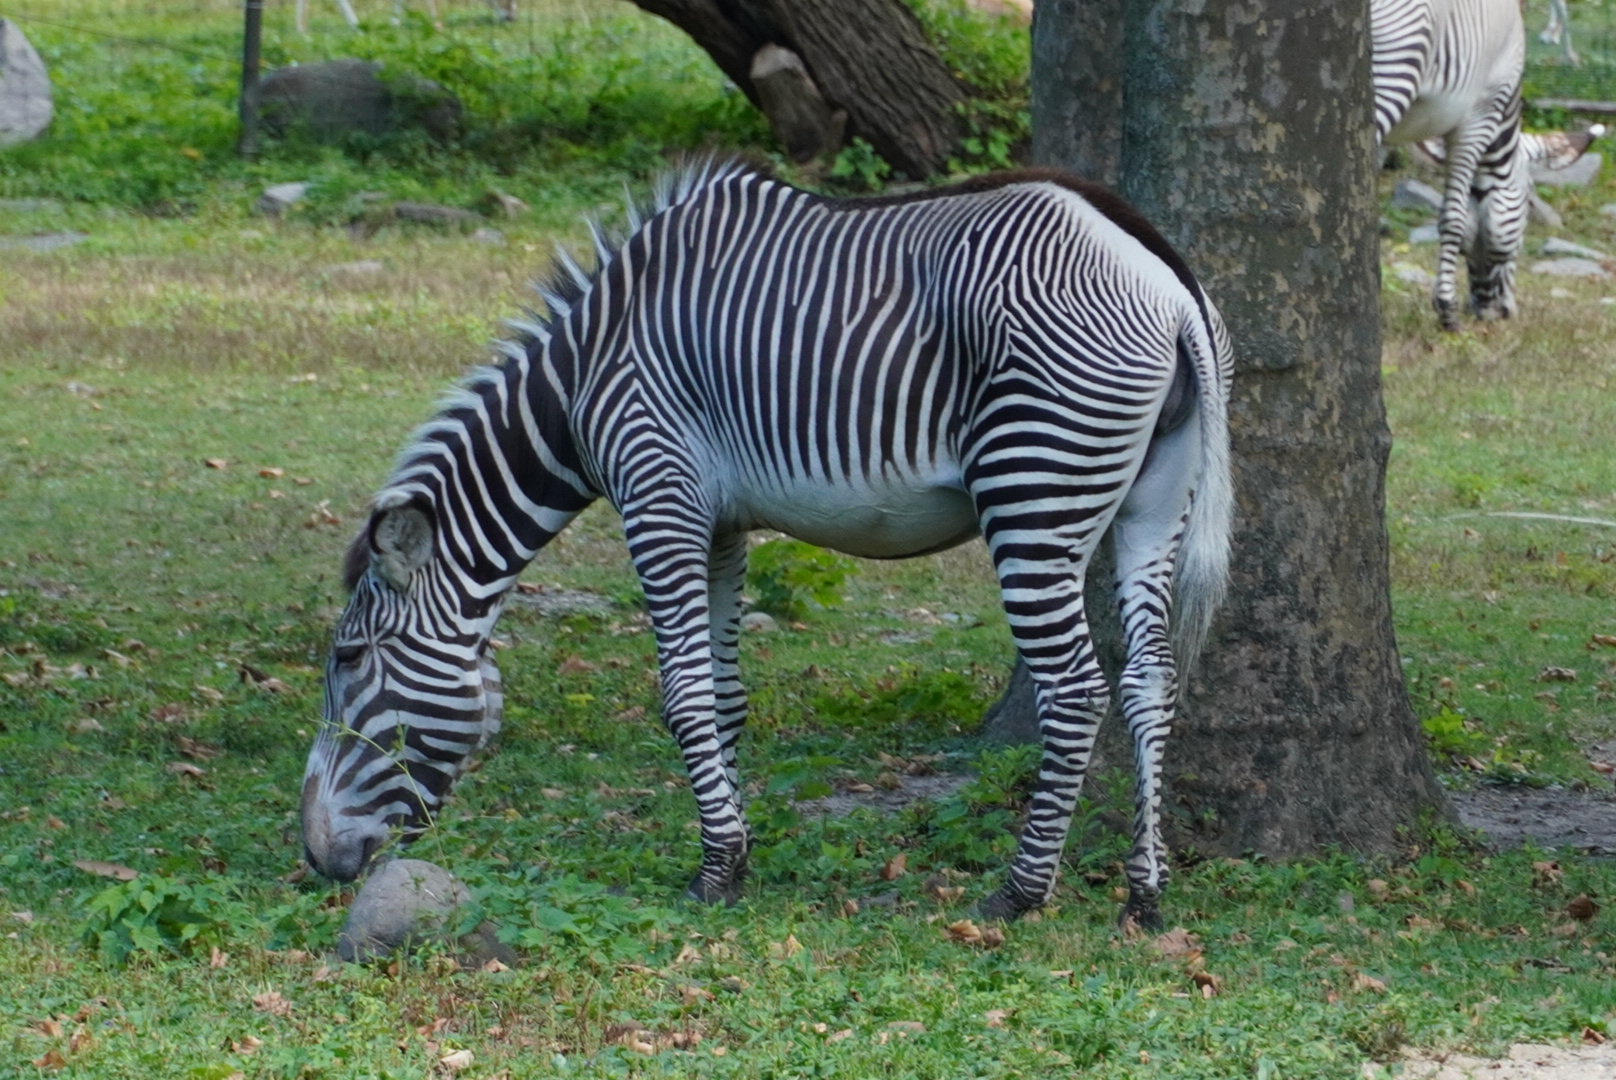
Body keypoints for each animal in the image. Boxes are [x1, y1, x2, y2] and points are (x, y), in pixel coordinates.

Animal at [299, 161, 1234, 926]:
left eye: (347, 658)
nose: (314, 858)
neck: (585, 372)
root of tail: (1165, 280)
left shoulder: (658, 492)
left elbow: (683, 695)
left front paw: (712, 871)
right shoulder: (719, 523)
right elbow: (725, 696)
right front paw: (738, 854)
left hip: (1033, 487)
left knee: (1076, 689)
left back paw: (1020, 892)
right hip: (1153, 505)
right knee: (1150, 678)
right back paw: (1145, 892)